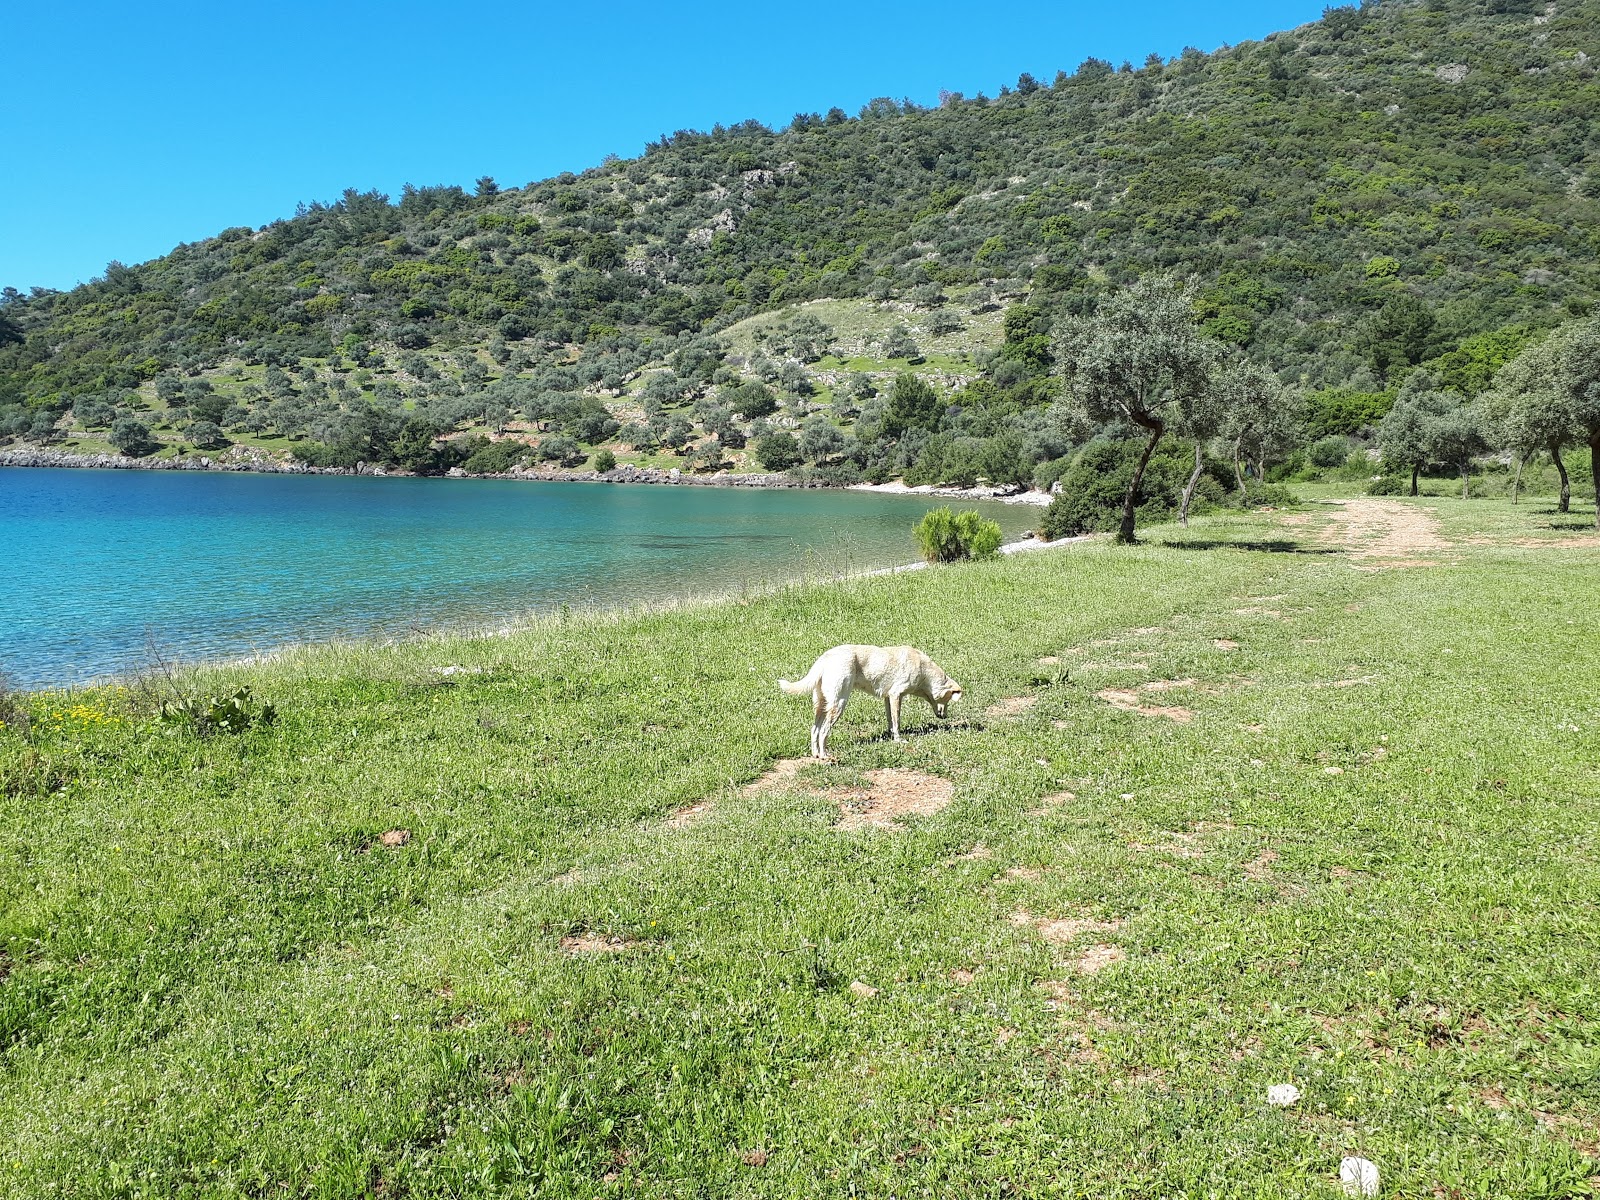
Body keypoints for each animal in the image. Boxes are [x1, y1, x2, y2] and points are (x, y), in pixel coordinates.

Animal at [777, 649, 960, 761]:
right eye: (948, 700)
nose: (945, 717)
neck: (924, 671)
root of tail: (825, 658)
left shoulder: (888, 698)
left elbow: (891, 721)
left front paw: (891, 737)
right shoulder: (896, 695)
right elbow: (897, 722)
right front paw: (899, 740)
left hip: (821, 704)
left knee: (814, 730)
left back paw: (815, 754)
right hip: (839, 703)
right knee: (823, 731)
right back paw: (824, 756)